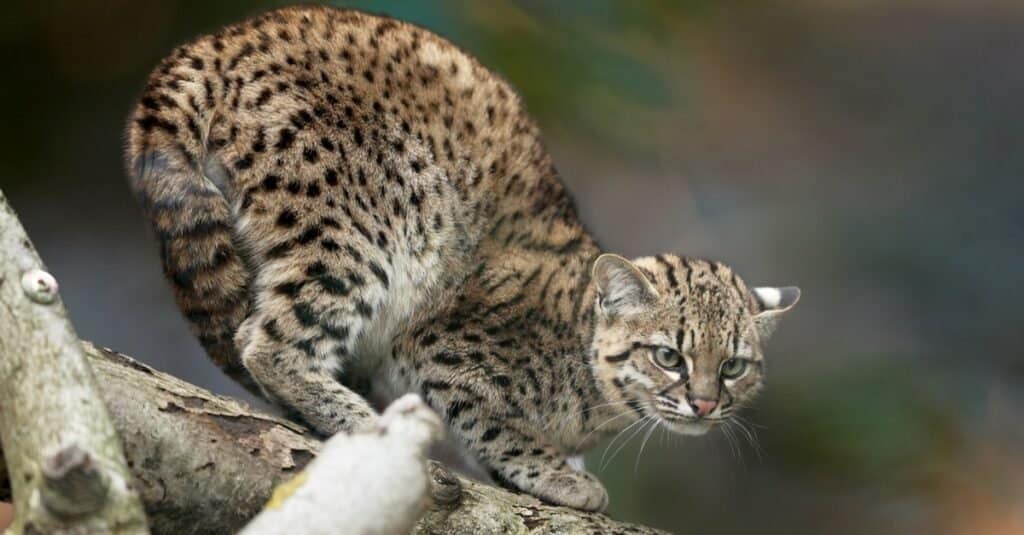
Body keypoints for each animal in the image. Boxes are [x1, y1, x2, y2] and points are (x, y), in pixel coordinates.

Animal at [125, 5, 798, 508]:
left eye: (734, 367)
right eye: (668, 357)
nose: (706, 404)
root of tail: (216, 42)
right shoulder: (443, 350)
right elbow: (495, 424)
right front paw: (560, 476)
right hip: (362, 235)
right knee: (267, 344)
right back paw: (373, 427)